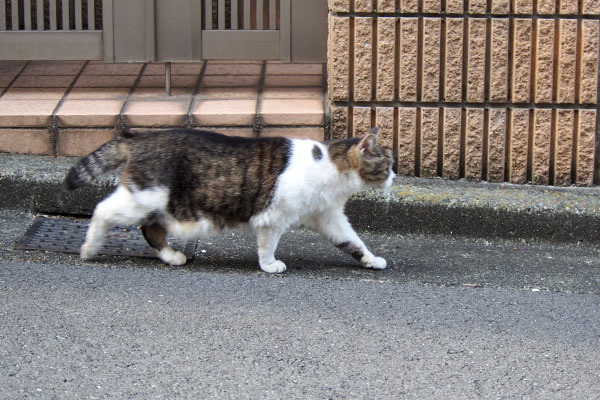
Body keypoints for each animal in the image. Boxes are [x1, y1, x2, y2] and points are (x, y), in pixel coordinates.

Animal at [64, 126, 394, 274]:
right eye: (388, 165)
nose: (394, 177)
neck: (329, 167)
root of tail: (137, 137)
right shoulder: (273, 218)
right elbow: (267, 246)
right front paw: (269, 265)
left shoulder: (329, 217)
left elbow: (354, 242)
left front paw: (371, 259)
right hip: (144, 198)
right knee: (102, 210)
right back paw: (89, 248)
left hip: (166, 207)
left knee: (151, 230)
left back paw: (172, 256)